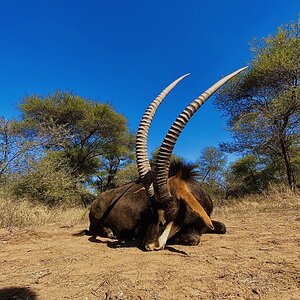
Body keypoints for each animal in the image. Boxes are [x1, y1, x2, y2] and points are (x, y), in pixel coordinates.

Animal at [85, 67, 247, 250]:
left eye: (171, 211)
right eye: (151, 211)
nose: (149, 245)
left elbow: (222, 227)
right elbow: (192, 237)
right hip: (96, 223)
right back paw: (110, 233)